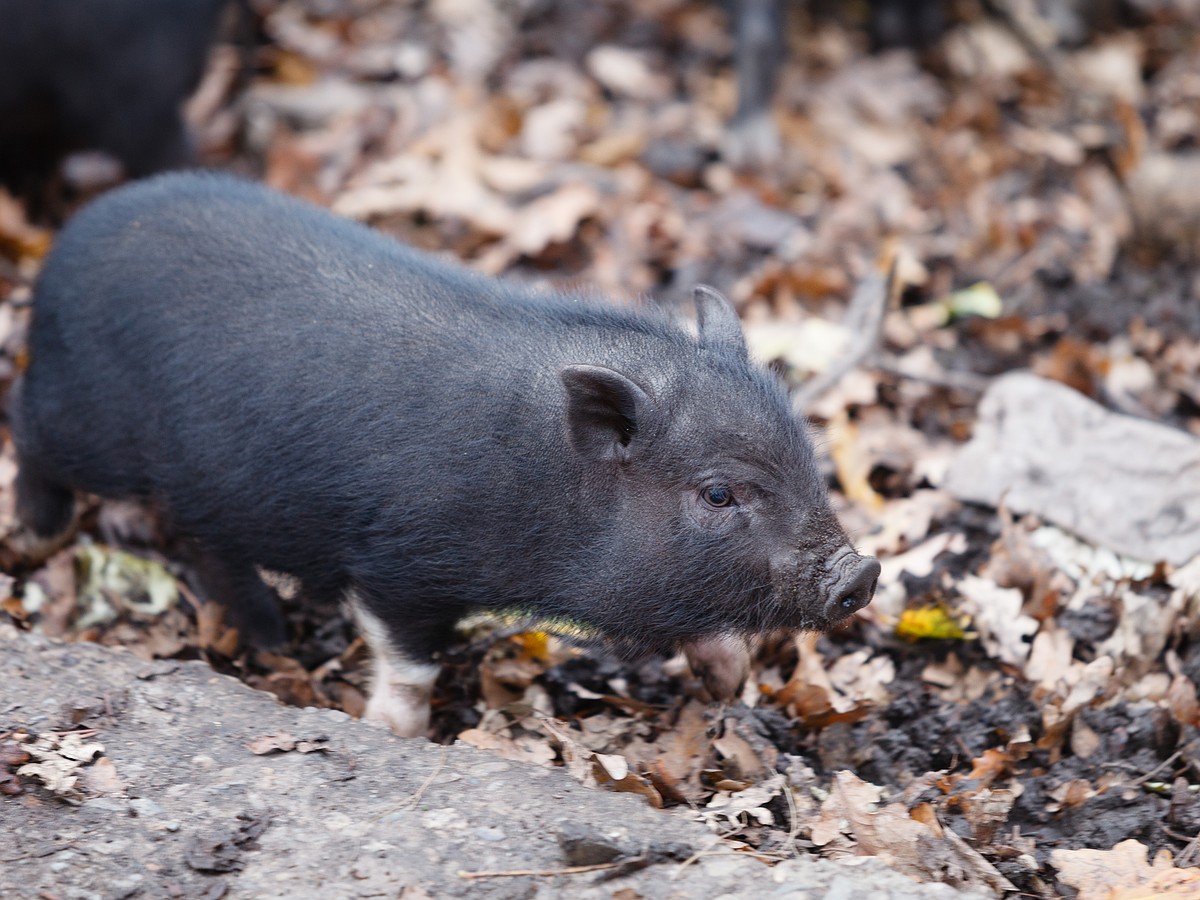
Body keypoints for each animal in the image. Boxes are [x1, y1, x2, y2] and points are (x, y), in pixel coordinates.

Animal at [11, 172, 883, 734]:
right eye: (717, 494)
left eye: (806, 460)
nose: (861, 573)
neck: (546, 485)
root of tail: (64, 247)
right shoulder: (396, 563)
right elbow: (410, 664)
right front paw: (392, 735)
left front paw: (729, 687)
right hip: (87, 421)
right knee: (28, 426)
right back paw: (37, 532)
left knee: (199, 538)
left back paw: (260, 629)